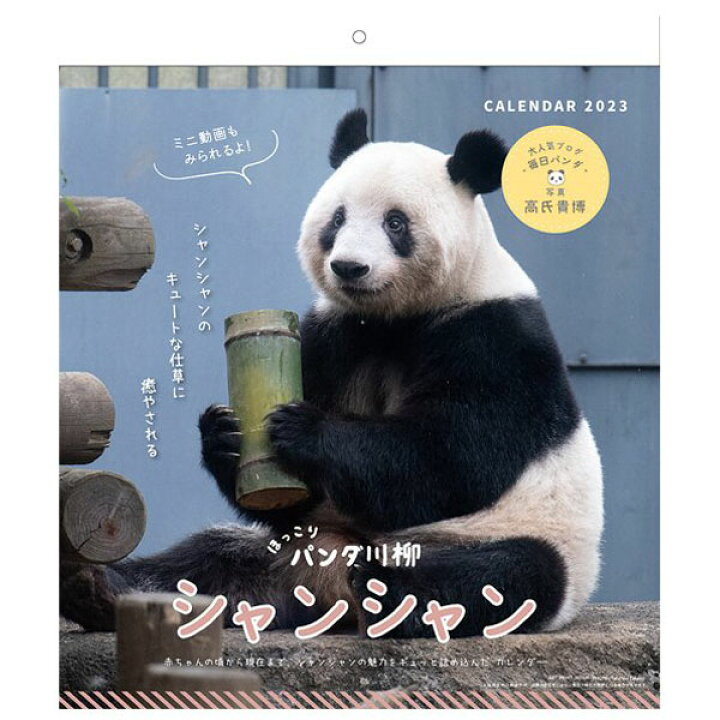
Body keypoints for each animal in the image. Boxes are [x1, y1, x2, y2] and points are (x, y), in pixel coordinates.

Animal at [60, 109, 603, 638]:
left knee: (500, 574)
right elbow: (288, 497)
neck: (393, 319)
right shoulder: (330, 334)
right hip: (284, 548)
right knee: (203, 562)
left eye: (396, 223)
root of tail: (327, 586)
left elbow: (454, 452)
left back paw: (388, 588)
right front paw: (224, 433)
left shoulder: (495, 336)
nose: (349, 267)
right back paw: (103, 590)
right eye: (337, 219)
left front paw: (306, 430)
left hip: (526, 541)